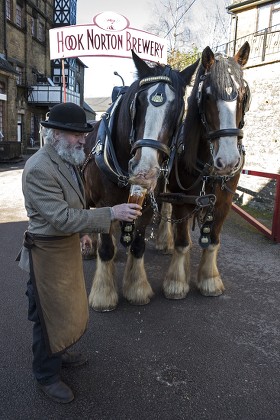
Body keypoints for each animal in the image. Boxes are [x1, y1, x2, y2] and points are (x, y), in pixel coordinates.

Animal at [155, 41, 252, 298]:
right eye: (207, 96)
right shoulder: (181, 198)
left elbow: (213, 240)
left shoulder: (223, 201)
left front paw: (210, 279)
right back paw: (163, 241)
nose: (227, 161)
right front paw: (176, 282)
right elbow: (182, 242)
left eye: (243, 95)